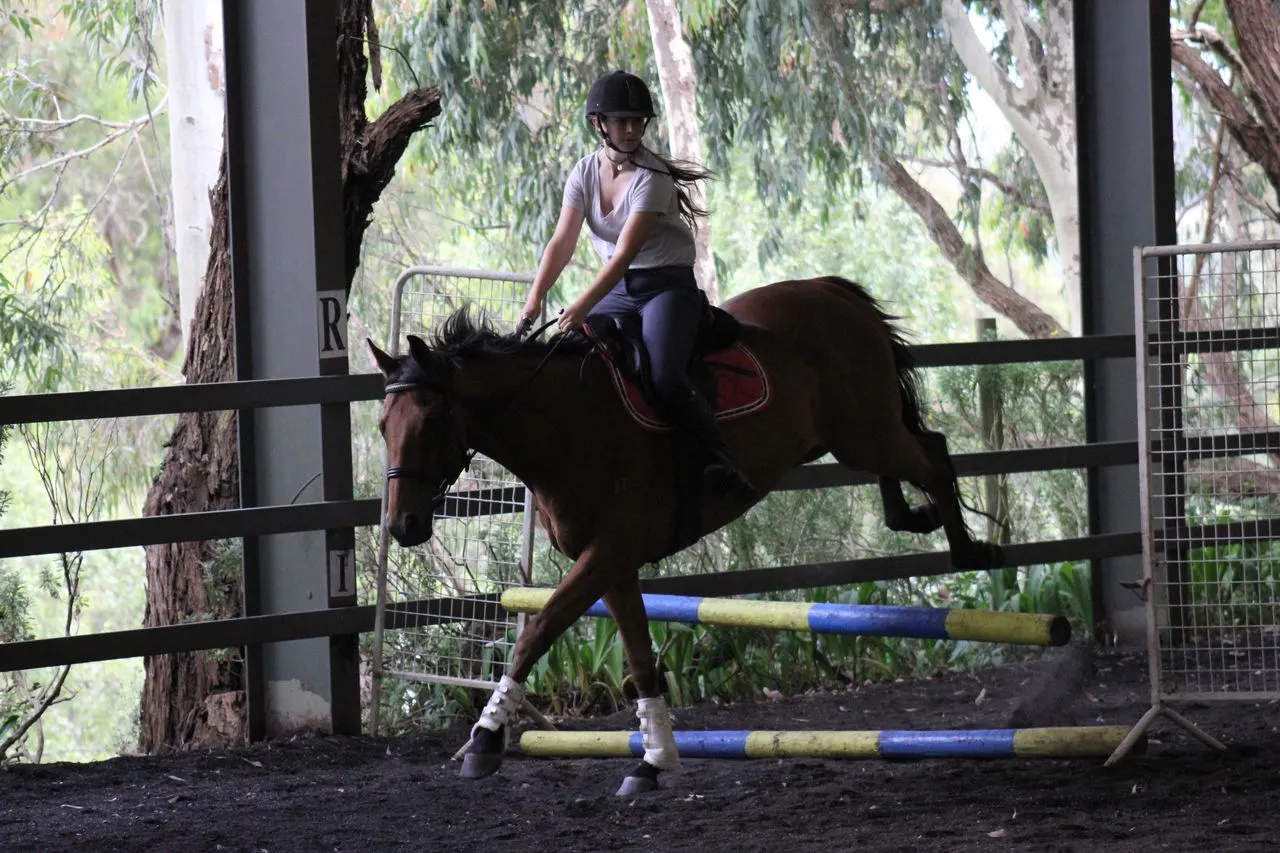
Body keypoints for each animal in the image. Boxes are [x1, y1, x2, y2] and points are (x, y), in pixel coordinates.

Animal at [368, 272, 998, 788]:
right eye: (382, 426)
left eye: (431, 419)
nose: (403, 525)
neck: (567, 423)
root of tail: (830, 290)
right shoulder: (613, 562)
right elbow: (639, 657)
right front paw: (652, 760)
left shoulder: (608, 551)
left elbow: (536, 631)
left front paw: (484, 739)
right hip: (855, 433)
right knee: (911, 457)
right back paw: (919, 519)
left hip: (866, 429)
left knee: (933, 455)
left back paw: (970, 551)